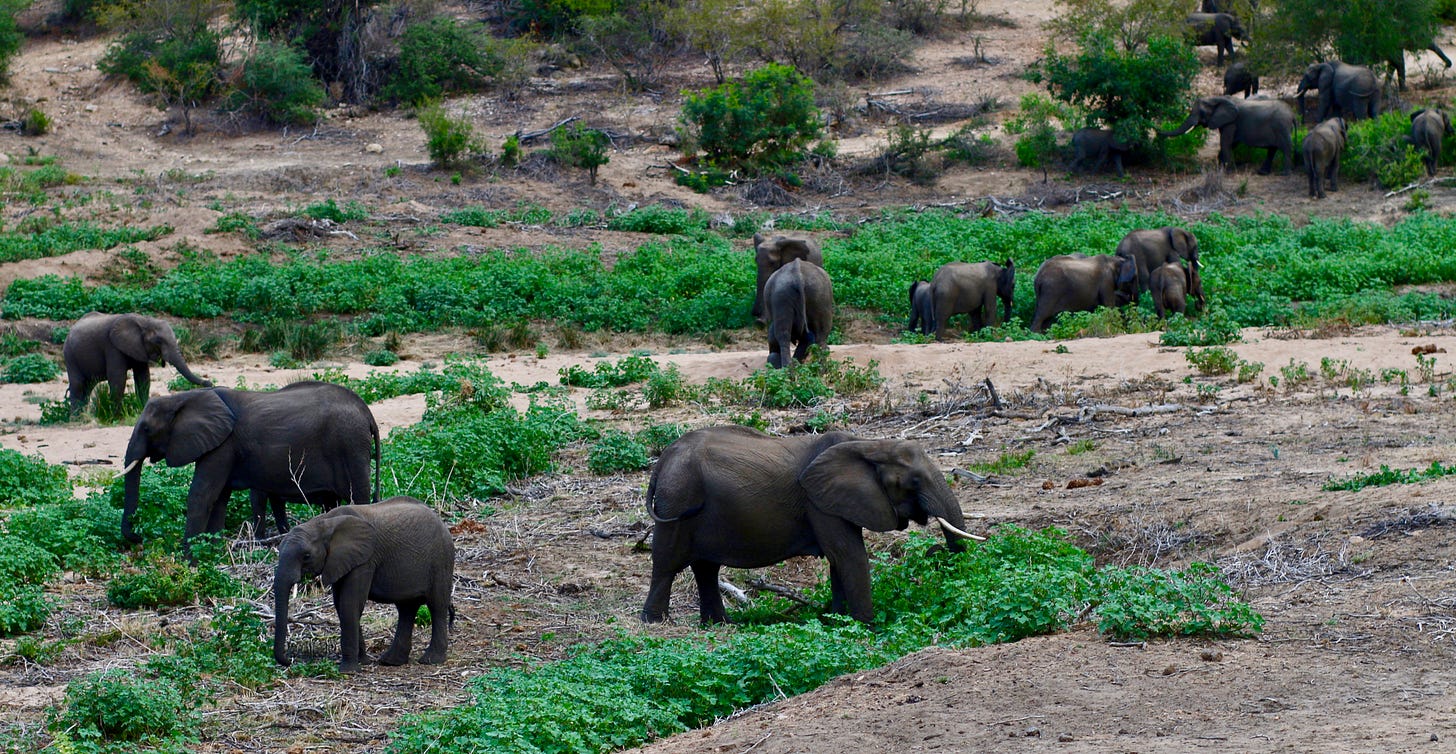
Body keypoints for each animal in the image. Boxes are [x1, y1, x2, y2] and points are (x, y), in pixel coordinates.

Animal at [63, 313, 212, 416]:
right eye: (158, 341)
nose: (209, 383)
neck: (143, 320)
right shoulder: (111, 346)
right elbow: (118, 378)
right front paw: (116, 417)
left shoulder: (139, 347)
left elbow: (143, 377)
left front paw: (142, 410)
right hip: (70, 355)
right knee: (78, 384)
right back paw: (77, 419)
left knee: (88, 387)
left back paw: (83, 416)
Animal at [120, 381, 380, 550]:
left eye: (146, 429)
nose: (137, 539)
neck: (185, 397)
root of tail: (367, 413)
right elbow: (220, 498)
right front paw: (212, 554)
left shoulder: (223, 445)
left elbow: (202, 495)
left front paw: (188, 561)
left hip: (351, 445)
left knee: (358, 496)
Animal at [273, 497, 454, 673]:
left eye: (307, 556)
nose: (289, 661)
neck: (323, 523)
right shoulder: (340, 561)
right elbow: (341, 605)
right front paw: (363, 662)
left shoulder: (365, 560)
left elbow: (350, 603)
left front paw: (349, 671)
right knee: (407, 608)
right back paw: (391, 662)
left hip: (441, 560)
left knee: (436, 605)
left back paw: (430, 660)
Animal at [640, 425, 979, 624]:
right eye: (914, 482)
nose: (935, 551)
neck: (869, 445)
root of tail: (663, 459)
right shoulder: (818, 503)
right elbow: (849, 555)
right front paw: (867, 627)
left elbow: (840, 560)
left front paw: (838, 620)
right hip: (678, 497)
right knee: (667, 562)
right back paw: (655, 622)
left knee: (706, 568)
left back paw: (719, 624)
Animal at [1159, 95, 1294, 175]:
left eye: (1201, 112)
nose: (1159, 134)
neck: (1216, 98)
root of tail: (1292, 114)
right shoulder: (1224, 121)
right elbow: (1231, 143)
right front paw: (1220, 166)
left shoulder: (1231, 122)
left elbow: (1226, 142)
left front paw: (1226, 171)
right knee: (1272, 149)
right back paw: (1262, 172)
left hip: (1281, 127)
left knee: (1286, 148)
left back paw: (1285, 174)